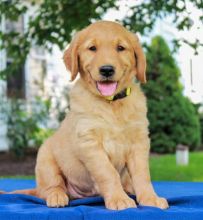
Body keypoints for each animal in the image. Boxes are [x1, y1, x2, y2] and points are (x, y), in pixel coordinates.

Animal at [9, 21, 168, 211]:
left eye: (120, 48)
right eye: (92, 48)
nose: (107, 70)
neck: (111, 104)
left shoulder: (139, 142)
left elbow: (142, 175)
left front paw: (150, 198)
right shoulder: (89, 143)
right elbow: (108, 172)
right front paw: (119, 199)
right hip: (45, 157)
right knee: (49, 187)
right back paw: (57, 196)